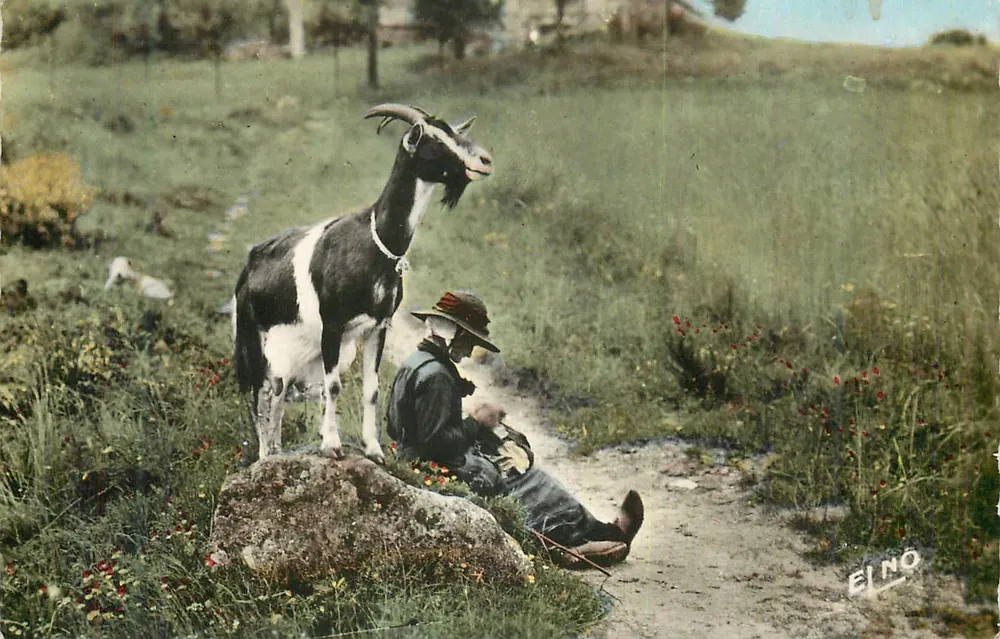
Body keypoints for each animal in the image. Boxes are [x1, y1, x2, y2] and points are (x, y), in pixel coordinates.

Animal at [232, 104, 493, 464]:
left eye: (456, 132)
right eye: (434, 141)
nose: (484, 160)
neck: (378, 246)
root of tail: (248, 267)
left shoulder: (378, 327)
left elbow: (372, 389)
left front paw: (374, 449)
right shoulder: (332, 325)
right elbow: (333, 386)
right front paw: (332, 445)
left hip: (293, 354)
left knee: (277, 394)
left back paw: (277, 450)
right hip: (255, 343)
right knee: (261, 395)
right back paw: (265, 457)